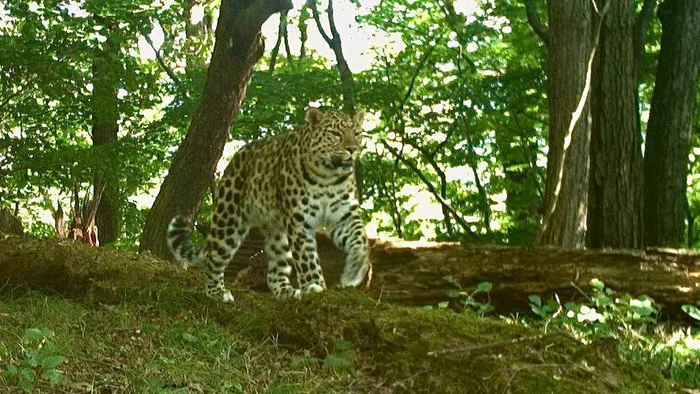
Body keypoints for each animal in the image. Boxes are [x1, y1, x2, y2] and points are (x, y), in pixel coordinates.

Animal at [166, 107, 370, 302]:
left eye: (357, 133)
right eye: (335, 133)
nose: (352, 149)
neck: (328, 176)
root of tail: (234, 159)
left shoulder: (345, 216)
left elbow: (360, 239)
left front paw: (355, 269)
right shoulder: (299, 221)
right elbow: (307, 257)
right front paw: (314, 285)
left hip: (278, 232)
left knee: (274, 272)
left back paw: (286, 291)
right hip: (228, 220)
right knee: (212, 258)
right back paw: (217, 292)